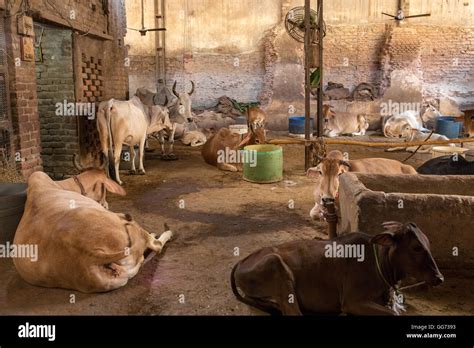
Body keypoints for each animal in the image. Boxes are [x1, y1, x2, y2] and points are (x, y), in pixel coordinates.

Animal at [231, 223, 442, 316]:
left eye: (429, 243)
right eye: (416, 247)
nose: (439, 278)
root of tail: (241, 261)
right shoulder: (351, 301)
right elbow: (393, 314)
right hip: (277, 267)